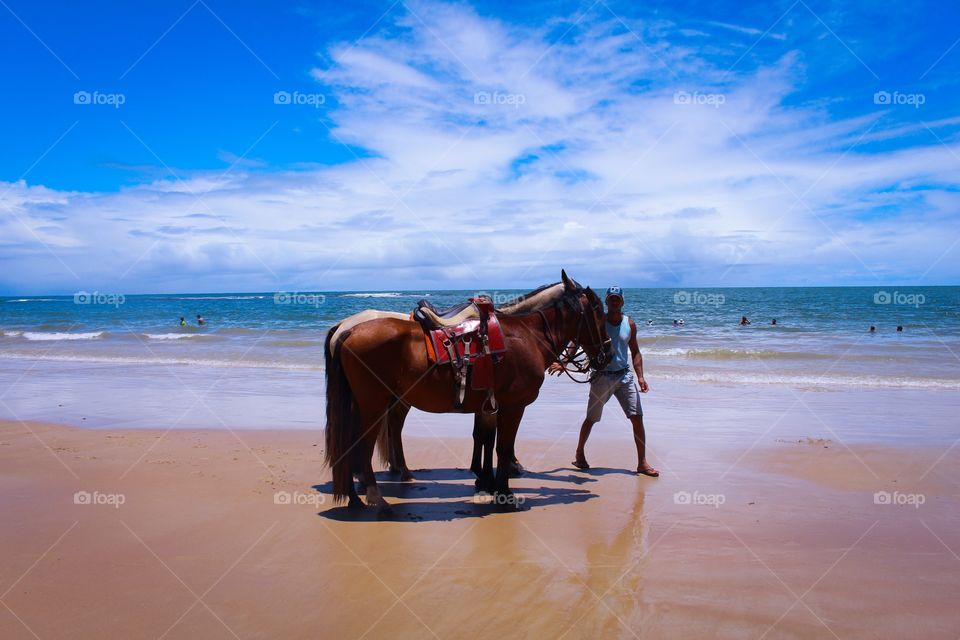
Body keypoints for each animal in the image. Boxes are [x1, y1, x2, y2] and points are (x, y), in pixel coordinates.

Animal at [322, 270, 608, 516]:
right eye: (598, 311)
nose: (607, 353)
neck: (528, 334)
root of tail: (348, 329)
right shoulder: (512, 406)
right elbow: (502, 446)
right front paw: (502, 491)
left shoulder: (489, 405)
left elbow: (485, 439)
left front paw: (486, 480)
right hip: (373, 404)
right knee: (363, 441)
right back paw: (376, 495)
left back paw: (359, 494)